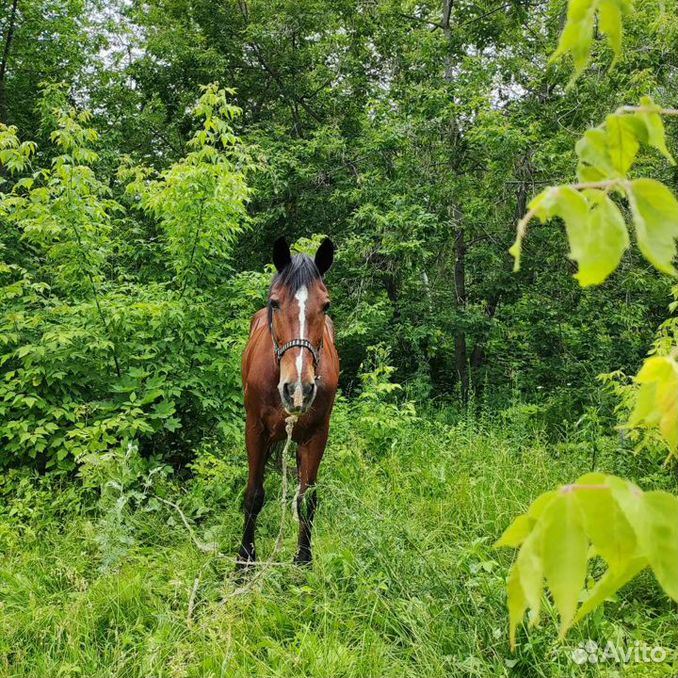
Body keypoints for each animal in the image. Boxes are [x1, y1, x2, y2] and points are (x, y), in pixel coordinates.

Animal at [242, 236, 342, 564]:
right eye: (275, 302)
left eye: (326, 305)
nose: (298, 388)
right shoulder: (255, 431)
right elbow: (254, 496)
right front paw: (244, 560)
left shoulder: (317, 435)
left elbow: (307, 498)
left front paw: (303, 559)